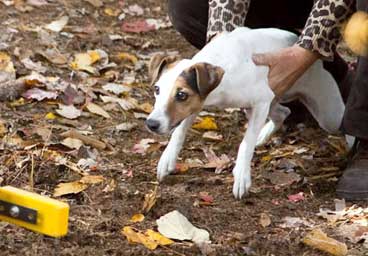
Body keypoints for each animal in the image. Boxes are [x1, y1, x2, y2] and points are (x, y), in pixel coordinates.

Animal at [145, 27, 346, 200]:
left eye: (181, 95)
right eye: (157, 89)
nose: (151, 124)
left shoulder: (261, 102)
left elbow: (246, 143)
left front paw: (241, 175)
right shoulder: (197, 105)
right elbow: (179, 132)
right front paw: (167, 158)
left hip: (329, 115)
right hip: (268, 102)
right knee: (283, 112)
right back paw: (263, 134)